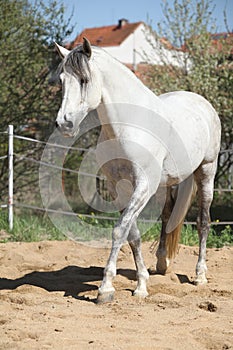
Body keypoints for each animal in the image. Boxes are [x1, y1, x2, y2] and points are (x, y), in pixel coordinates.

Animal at [54, 37, 220, 302]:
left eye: (84, 80)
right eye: (61, 80)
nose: (64, 124)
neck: (128, 126)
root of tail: (201, 102)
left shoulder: (144, 186)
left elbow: (119, 230)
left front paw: (105, 288)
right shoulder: (118, 188)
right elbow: (132, 234)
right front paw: (142, 284)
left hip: (206, 171)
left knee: (203, 221)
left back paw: (200, 276)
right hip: (168, 183)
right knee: (168, 216)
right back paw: (162, 264)